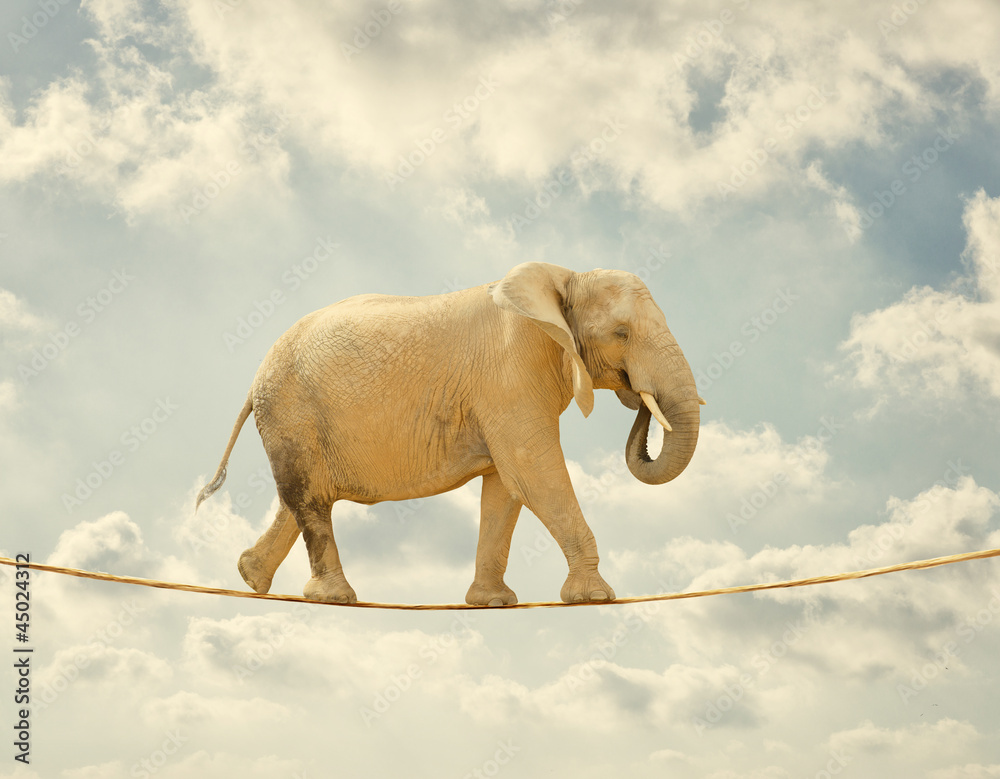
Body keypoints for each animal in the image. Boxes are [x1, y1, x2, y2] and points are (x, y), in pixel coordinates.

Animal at [196, 261, 703, 605]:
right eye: (622, 333)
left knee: (299, 497)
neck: (565, 279)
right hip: (291, 409)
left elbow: (505, 488)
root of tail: (254, 380)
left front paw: (492, 603)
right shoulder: (509, 375)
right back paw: (333, 597)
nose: (638, 397)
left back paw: (250, 577)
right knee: (310, 497)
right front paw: (594, 596)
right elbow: (532, 472)